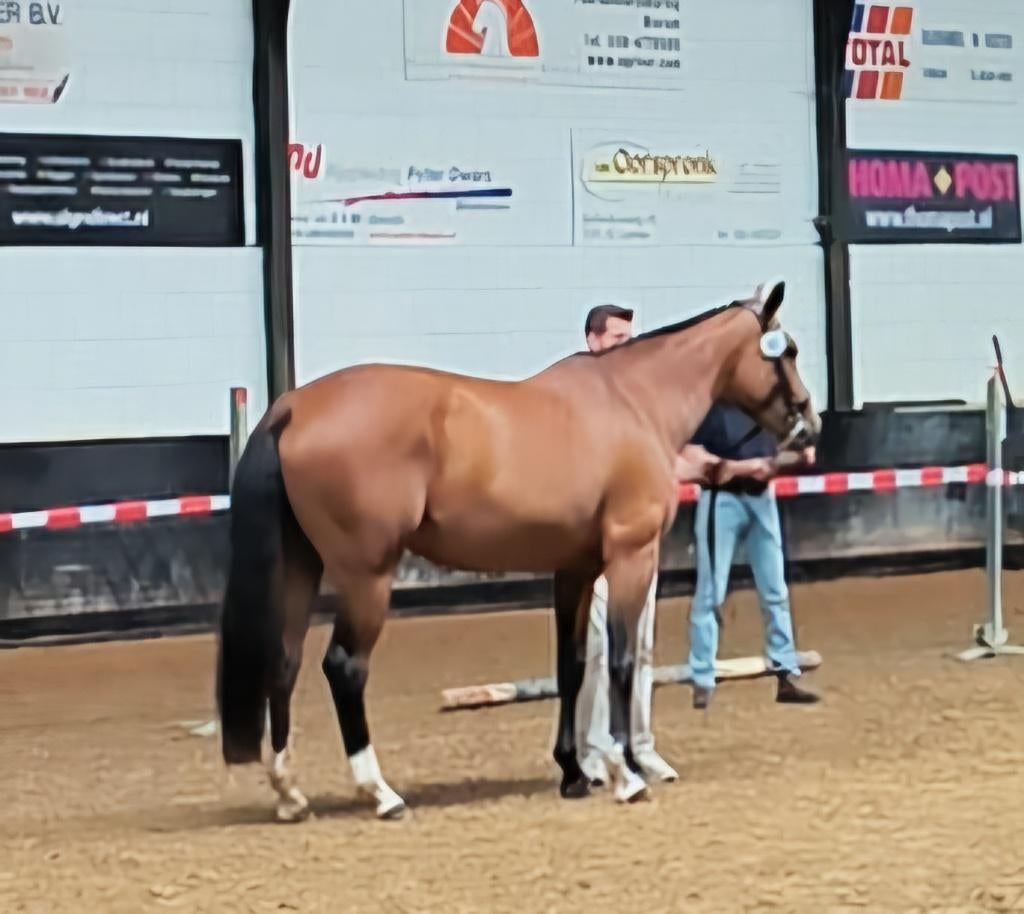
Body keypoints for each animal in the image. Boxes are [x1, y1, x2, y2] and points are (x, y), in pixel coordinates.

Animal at [216, 279, 821, 821]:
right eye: (786, 350)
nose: (809, 425)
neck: (633, 402)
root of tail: (293, 406)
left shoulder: (576, 568)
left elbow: (573, 665)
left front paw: (575, 772)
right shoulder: (631, 556)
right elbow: (621, 660)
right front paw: (626, 774)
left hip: (302, 565)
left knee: (285, 660)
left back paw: (290, 793)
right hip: (367, 575)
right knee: (344, 667)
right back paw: (380, 793)